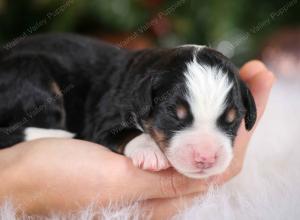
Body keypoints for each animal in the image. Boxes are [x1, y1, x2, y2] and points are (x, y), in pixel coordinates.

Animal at [0, 34, 256, 179]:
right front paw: (151, 151)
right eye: (174, 115)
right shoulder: (102, 122)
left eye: (233, 120)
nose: (206, 158)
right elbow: (128, 132)